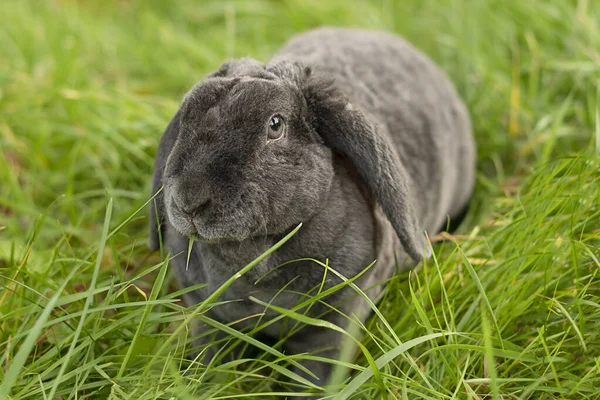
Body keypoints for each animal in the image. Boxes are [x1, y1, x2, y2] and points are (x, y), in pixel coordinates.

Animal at [148, 27, 476, 390]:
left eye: (275, 125)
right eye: (185, 121)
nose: (189, 199)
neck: (258, 262)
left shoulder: (333, 327)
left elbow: (316, 373)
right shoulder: (206, 316)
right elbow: (211, 355)